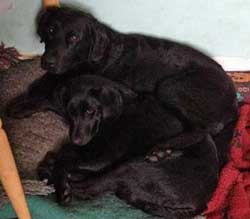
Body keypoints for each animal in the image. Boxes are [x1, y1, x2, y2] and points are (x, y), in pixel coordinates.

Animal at [5, 74, 235, 218]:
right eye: (72, 112)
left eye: (91, 111)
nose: (78, 139)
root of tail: (200, 203)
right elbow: (49, 102)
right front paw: (21, 106)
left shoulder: (102, 156)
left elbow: (67, 157)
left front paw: (60, 181)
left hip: (130, 167)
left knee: (89, 188)